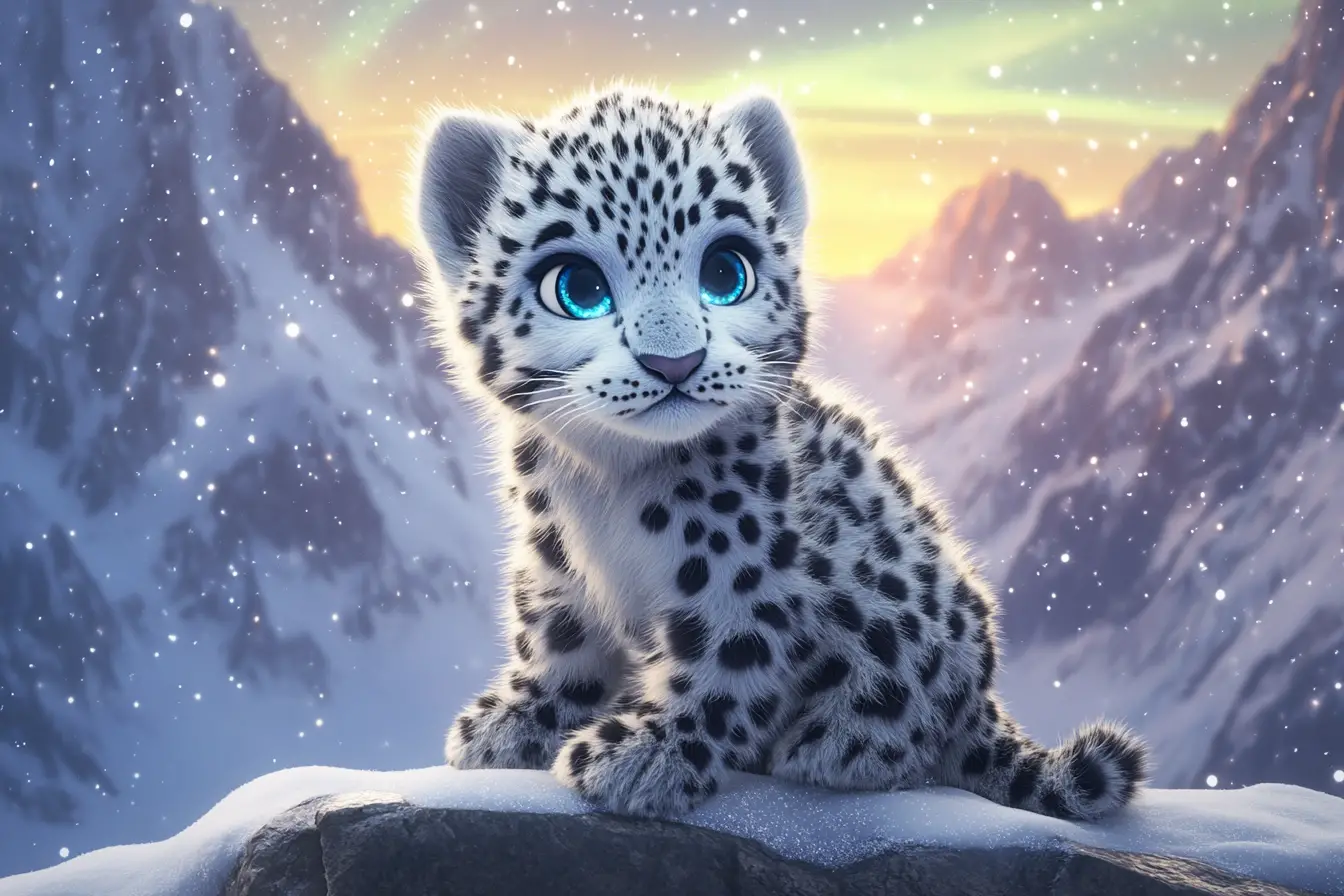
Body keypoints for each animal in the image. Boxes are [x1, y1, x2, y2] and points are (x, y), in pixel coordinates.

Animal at [411, 84, 1149, 821]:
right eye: (577, 288)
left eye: (725, 272)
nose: (675, 362)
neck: (607, 479)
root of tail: (984, 706)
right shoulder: (553, 556)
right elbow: (559, 638)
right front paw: (514, 723)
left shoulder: (741, 569)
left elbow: (726, 660)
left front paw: (647, 754)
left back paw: (834, 747)